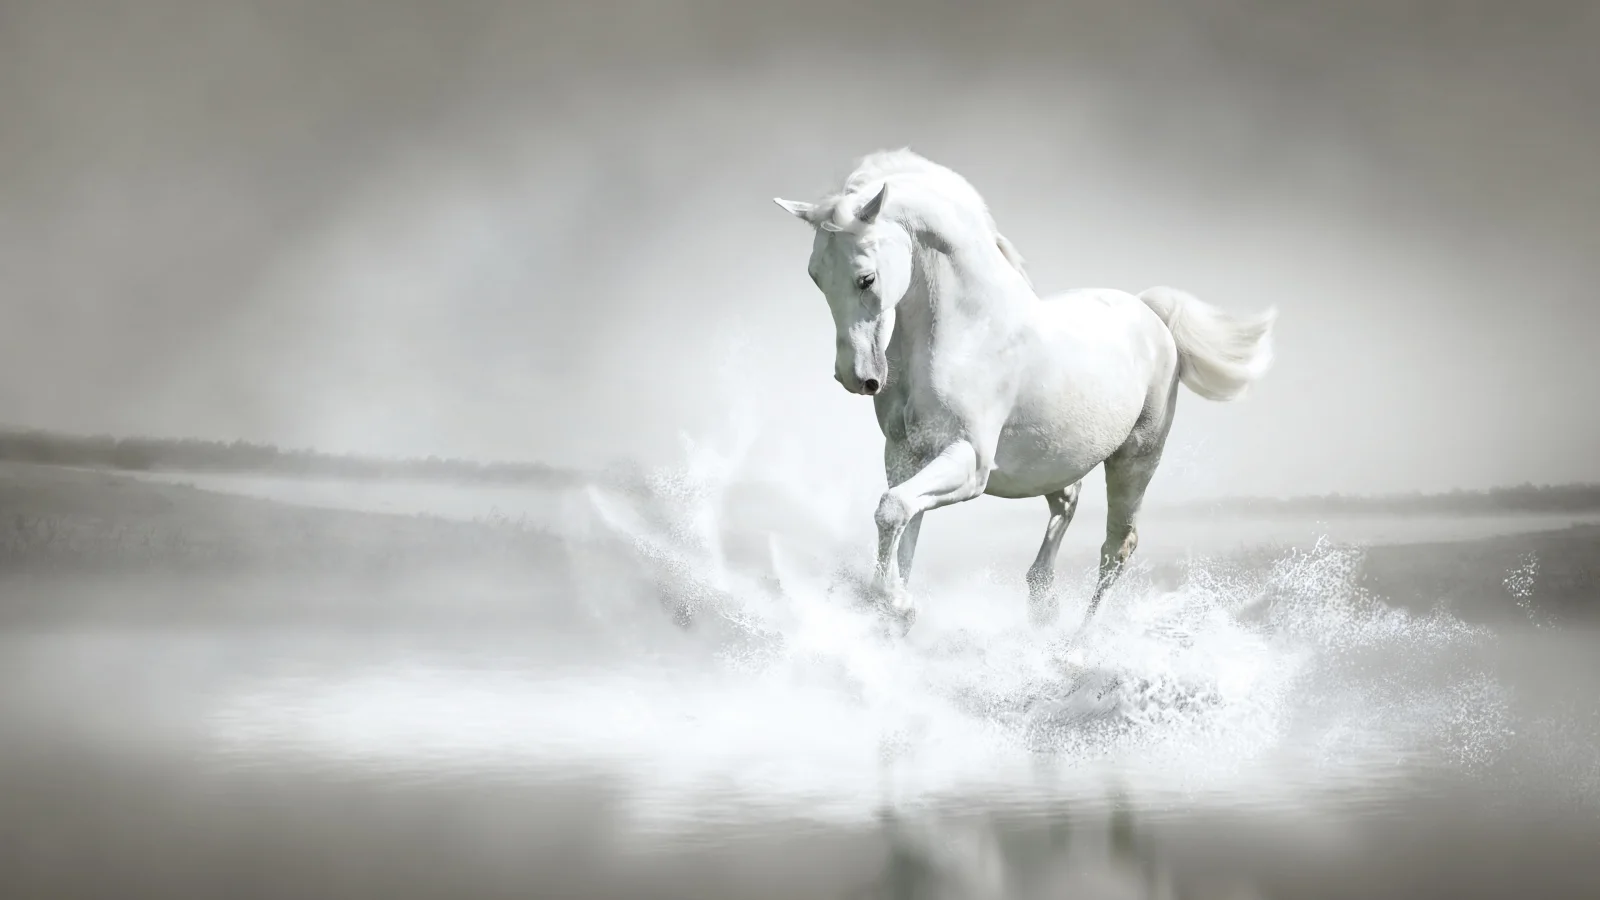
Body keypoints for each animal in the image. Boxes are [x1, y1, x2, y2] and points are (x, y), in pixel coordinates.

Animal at [773, 148, 1277, 632]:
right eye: (816, 276)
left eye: (866, 278)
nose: (857, 378)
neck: (968, 331)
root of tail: (1151, 314)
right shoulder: (905, 455)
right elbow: (902, 525)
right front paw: (894, 609)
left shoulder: (969, 461)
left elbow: (893, 510)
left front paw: (897, 605)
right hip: (1052, 461)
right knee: (1068, 504)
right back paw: (1042, 602)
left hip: (1136, 459)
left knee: (1117, 548)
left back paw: (1078, 642)